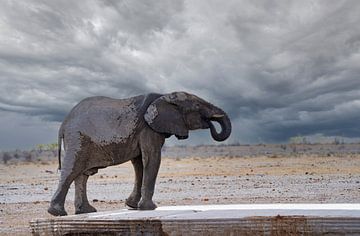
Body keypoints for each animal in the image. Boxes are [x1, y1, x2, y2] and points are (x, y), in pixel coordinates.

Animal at [47, 91, 231, 216]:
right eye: (198, 106)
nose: (211, 124)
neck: (164, 96)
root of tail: (64, 123)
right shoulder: (148, 129)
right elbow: (152, 158)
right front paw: (150, 208)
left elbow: (140, 163)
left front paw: (132, 206)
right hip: (77, 138)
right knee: (72, 170)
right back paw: (57, 213)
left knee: (82, 174)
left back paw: (86, 212)